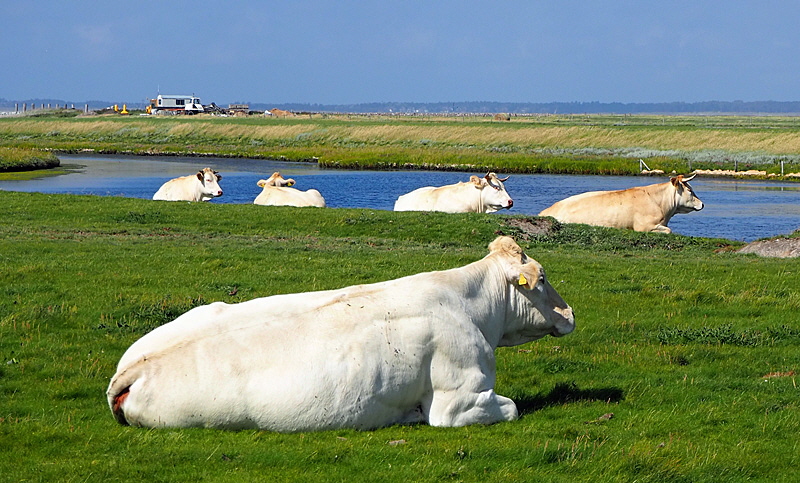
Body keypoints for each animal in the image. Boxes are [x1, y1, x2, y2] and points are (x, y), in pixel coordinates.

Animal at [109, 236, 580, 432]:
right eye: (542, 279)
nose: (571, 312)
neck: (473, 308)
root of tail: (128, 372)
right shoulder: (458, 400)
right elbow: (512, 408)